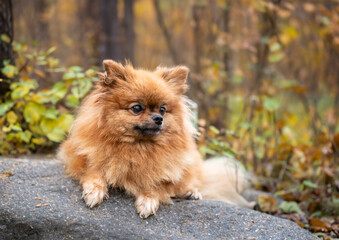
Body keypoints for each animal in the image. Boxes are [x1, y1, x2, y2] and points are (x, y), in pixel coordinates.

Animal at [57, 59, 252, 218]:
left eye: (163, 109)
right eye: (137, 108)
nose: (158, 118)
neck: (137, 147)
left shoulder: (166, 170)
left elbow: (155, 183)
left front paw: (148, 200)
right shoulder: (81, 157)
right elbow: (94, 171)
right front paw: (94, 191)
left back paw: (191, 192)